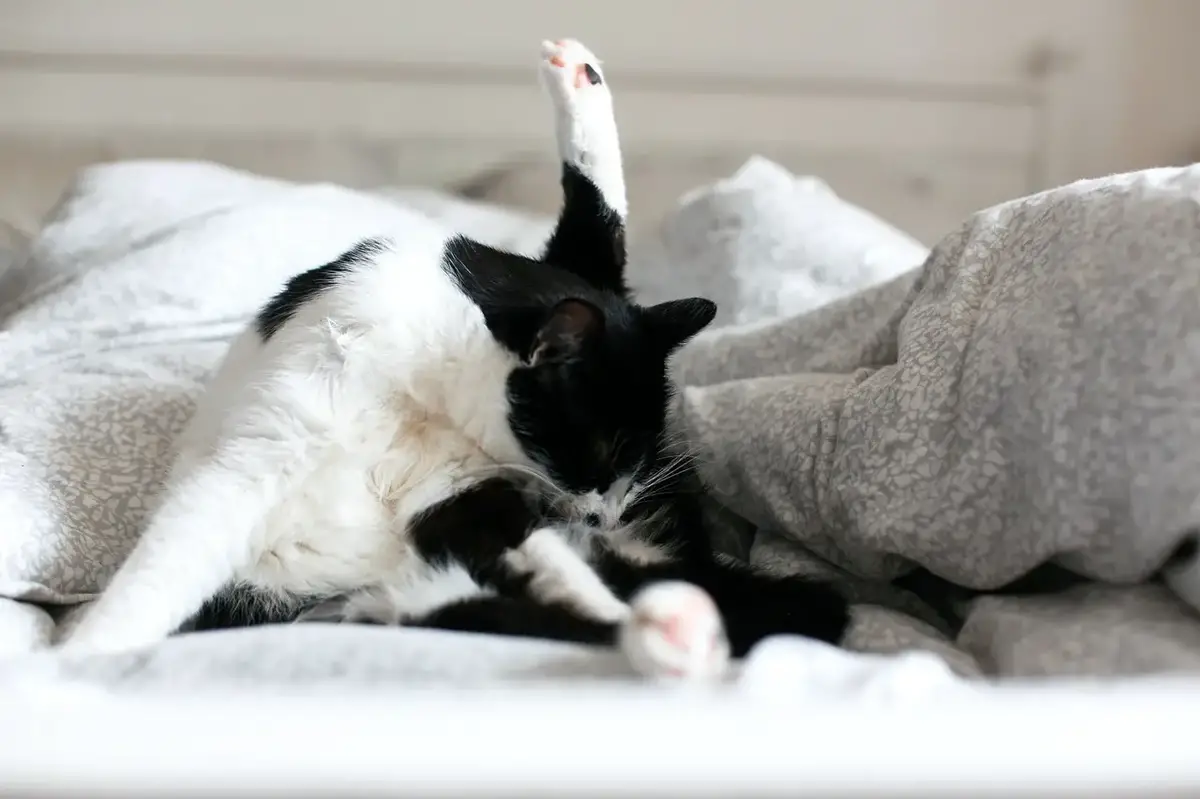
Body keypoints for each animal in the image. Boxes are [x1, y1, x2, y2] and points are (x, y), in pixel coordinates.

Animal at [54, 40, 844, 676]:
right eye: (602, 448)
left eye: (639, 455)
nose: (608, 509)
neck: (422, 389)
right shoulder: (275, 452)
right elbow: (171, 559)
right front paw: (85, 651)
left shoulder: (466, 485)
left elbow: (597, 228)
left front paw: (579, 82)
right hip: (378, 591)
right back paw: (667, 627)